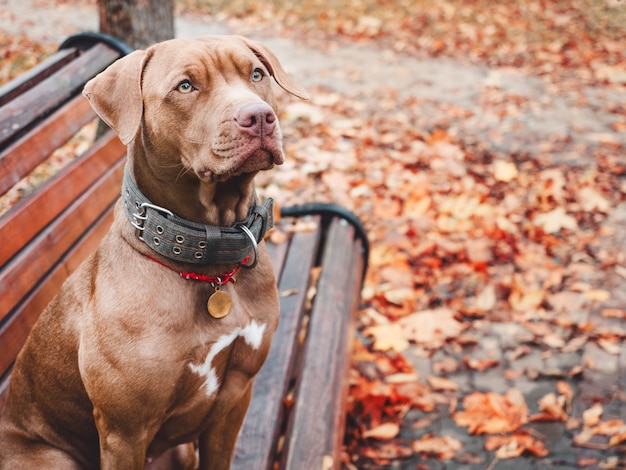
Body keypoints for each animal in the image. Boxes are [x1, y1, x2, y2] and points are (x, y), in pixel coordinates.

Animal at [0, 35, 308, 468]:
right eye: (185, 86)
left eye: (257, 74)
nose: (259, 116)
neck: (209, 258)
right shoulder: (124, 432)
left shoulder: (234, 402)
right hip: (52, 457)